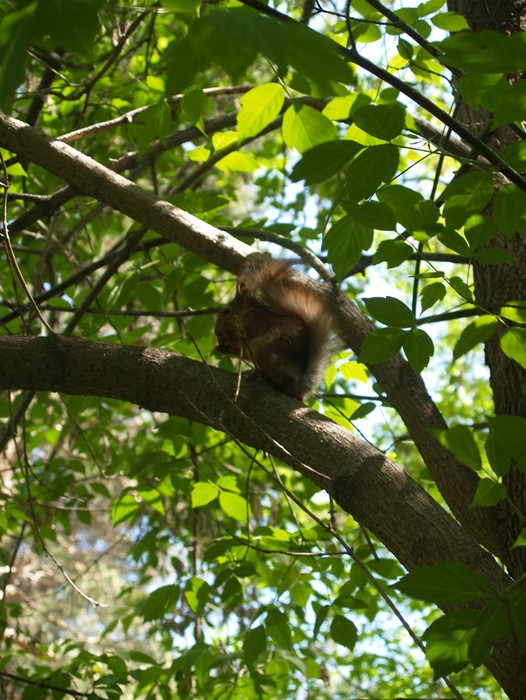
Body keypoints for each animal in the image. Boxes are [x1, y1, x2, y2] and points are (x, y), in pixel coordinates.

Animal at [216, 256, 336, 400]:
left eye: (226, 311)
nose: (216, 331)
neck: (248, 313)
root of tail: (301, 386)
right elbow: (242, 350)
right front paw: (222, 348)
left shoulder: (257, 324)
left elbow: (247, 338)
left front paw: (226, 337)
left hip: (265, 354)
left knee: (286, 381)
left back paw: (264, 377)